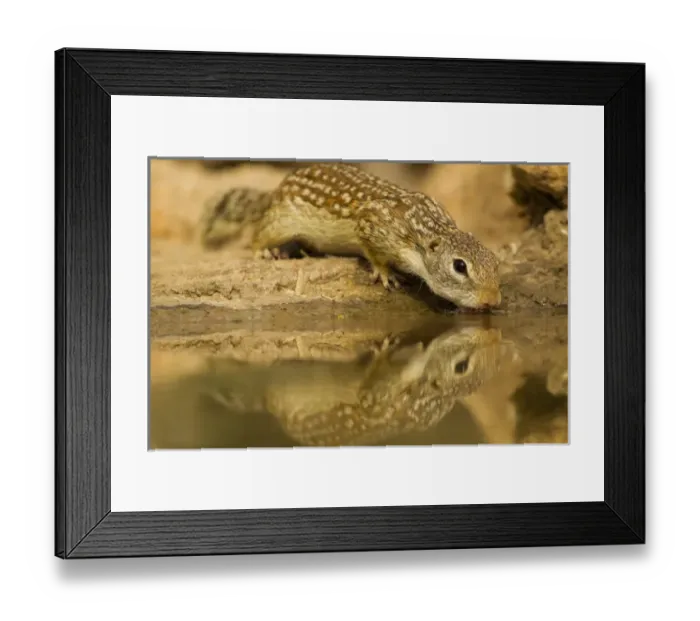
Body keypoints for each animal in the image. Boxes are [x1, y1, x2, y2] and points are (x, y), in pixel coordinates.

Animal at [199, 162, 502, 310]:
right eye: (459, 266)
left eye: (496, 263)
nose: (492, 300)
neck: (424, 227)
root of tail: (277, 188)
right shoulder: (371, 226)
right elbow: (374, 254)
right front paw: (386, 274)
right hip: (281, 221)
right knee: (259, 231)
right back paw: (265, 250)